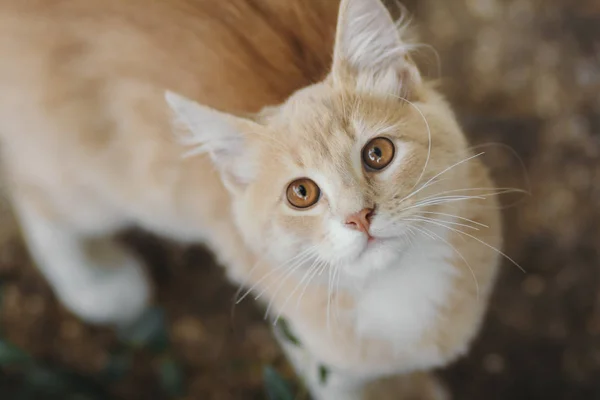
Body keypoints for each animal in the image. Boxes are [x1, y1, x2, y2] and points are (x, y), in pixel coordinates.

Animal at [0, 0, 502, 396]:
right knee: (32, 192)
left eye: (378, 153)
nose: (359, 216)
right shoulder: (317, 352)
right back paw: (96, 285)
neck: (396, 285)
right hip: (106, 183)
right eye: (302, 193)